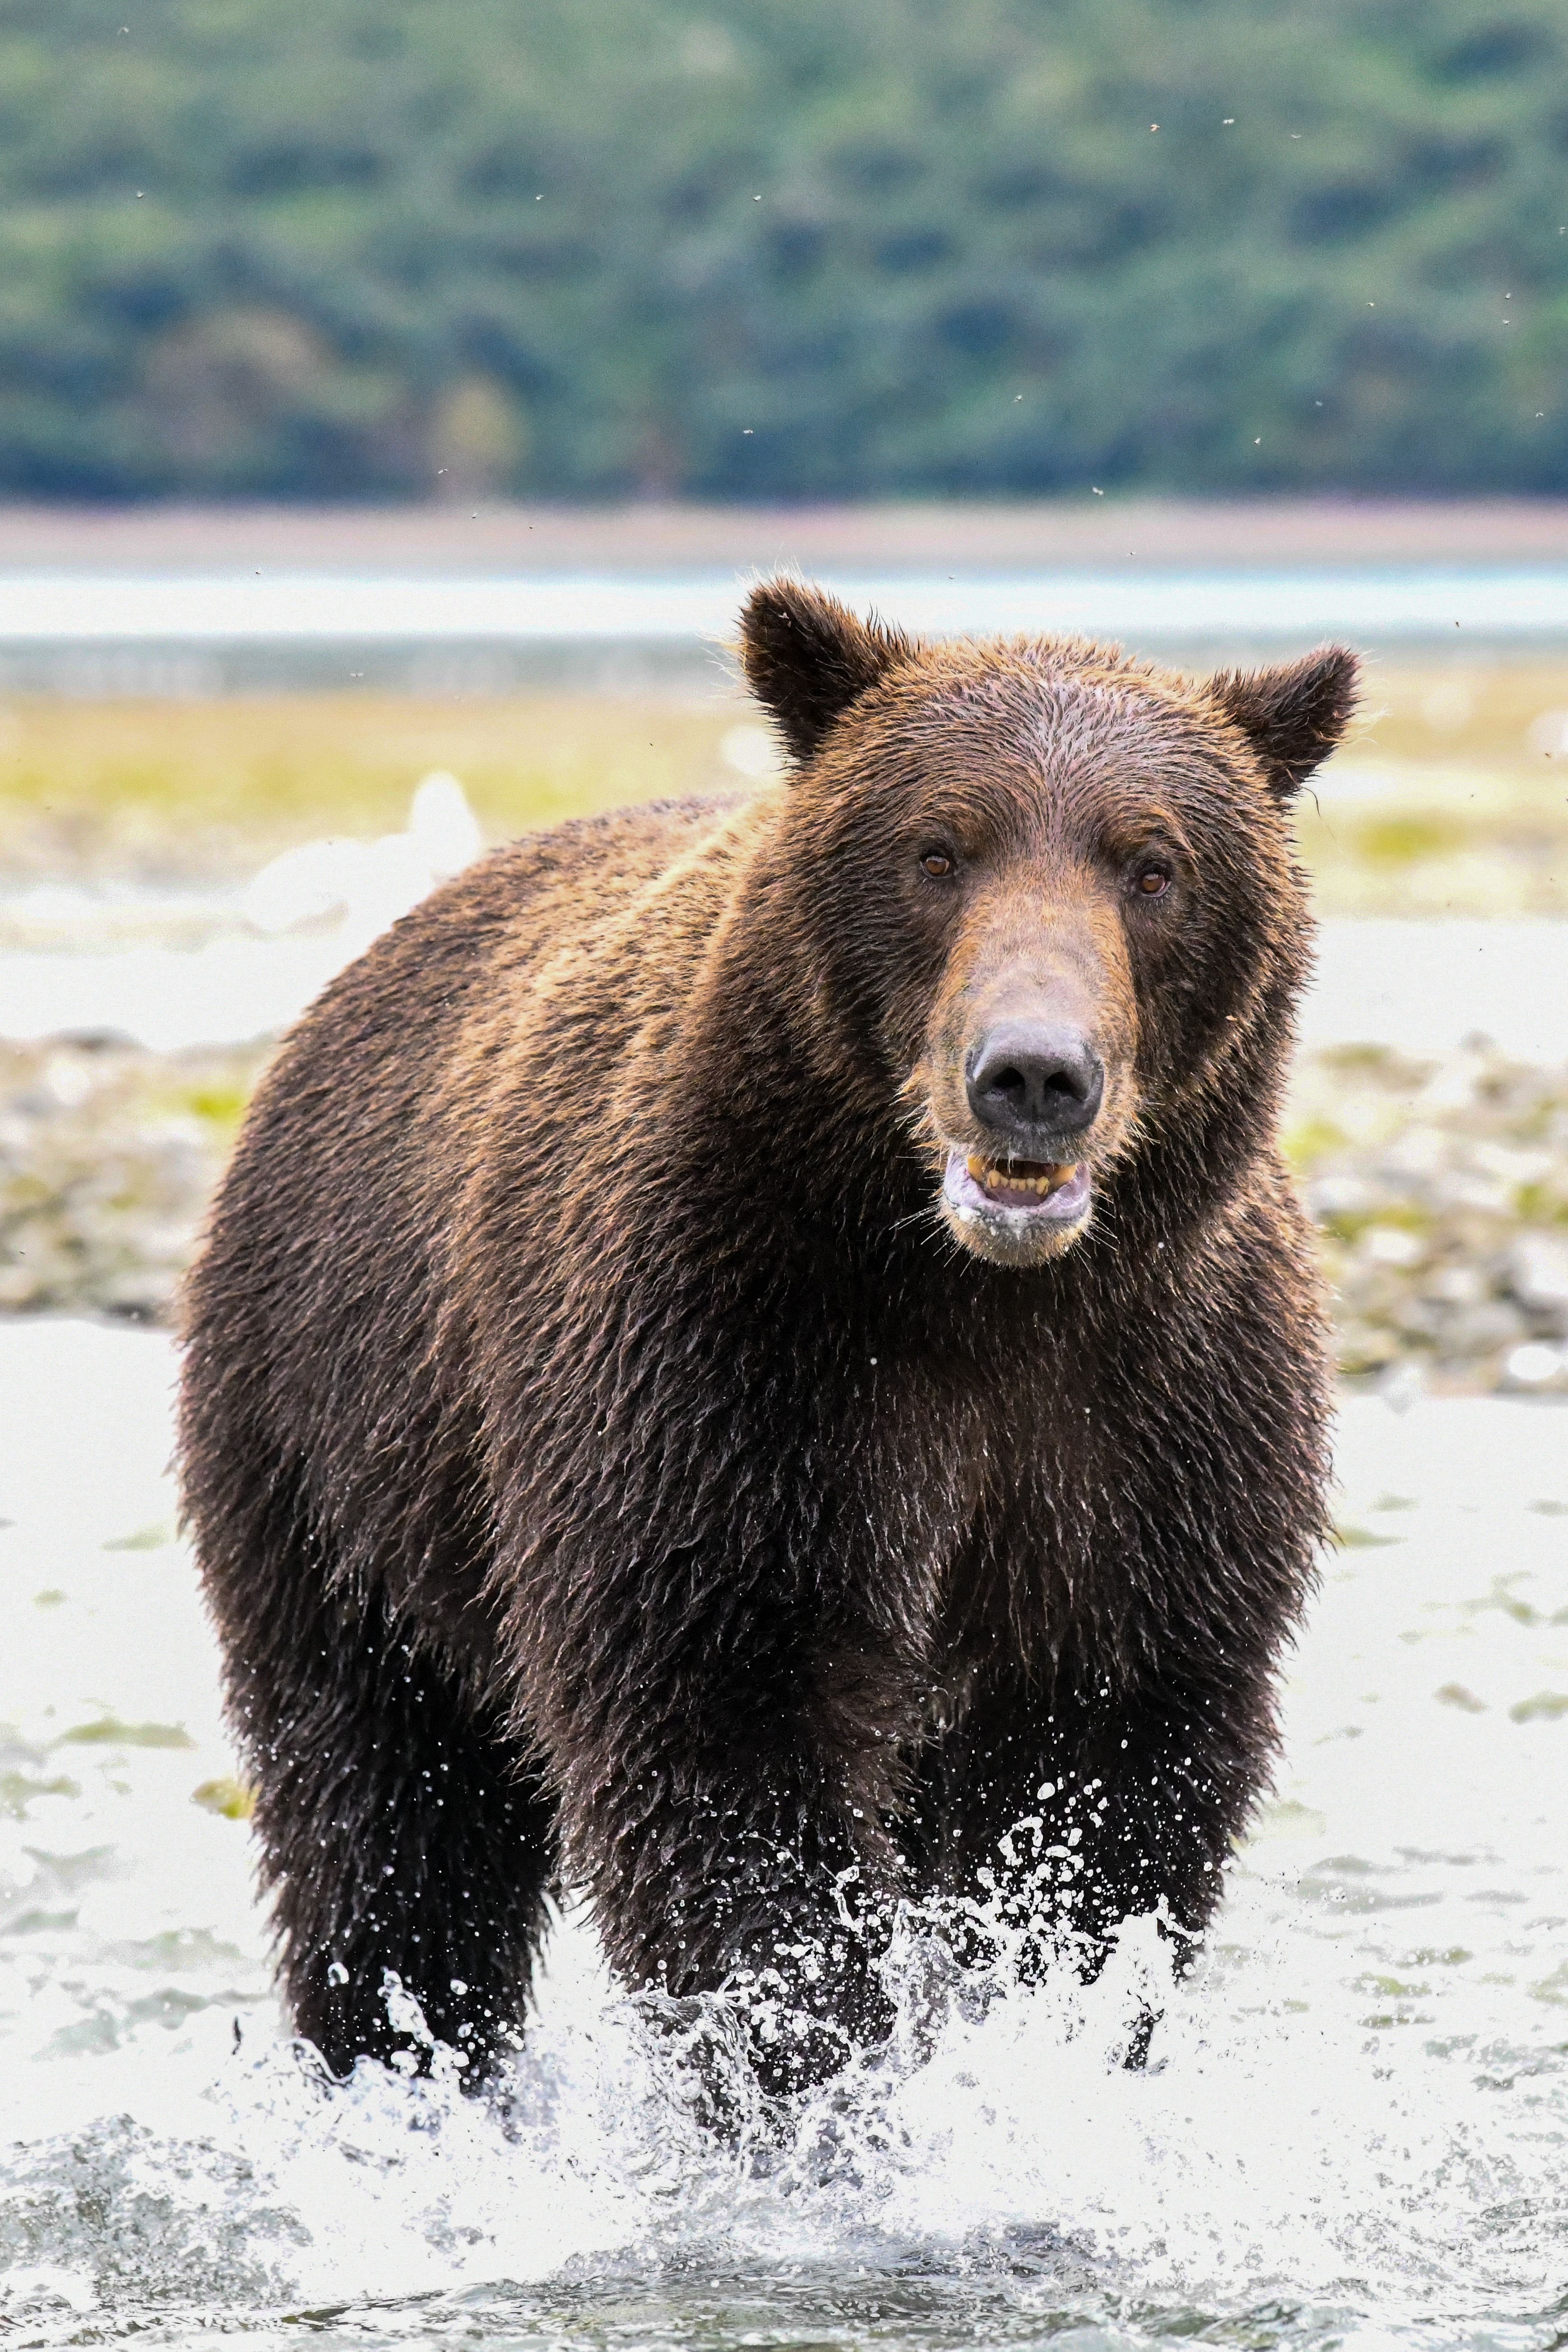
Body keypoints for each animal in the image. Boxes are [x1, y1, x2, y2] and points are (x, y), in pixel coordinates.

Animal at [178, 578, 1357, 2097]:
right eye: (936, 848)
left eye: (1151, 866)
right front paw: (829, 2087)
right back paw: (399, 2064)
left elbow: (1103, 1806)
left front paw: (1033, 2050)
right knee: (385, 1818)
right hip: (334, 1453)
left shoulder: (1160, 1430)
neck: (982, 1301)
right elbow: (730, 1751)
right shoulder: (729, 1370)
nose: (1032, 1074)